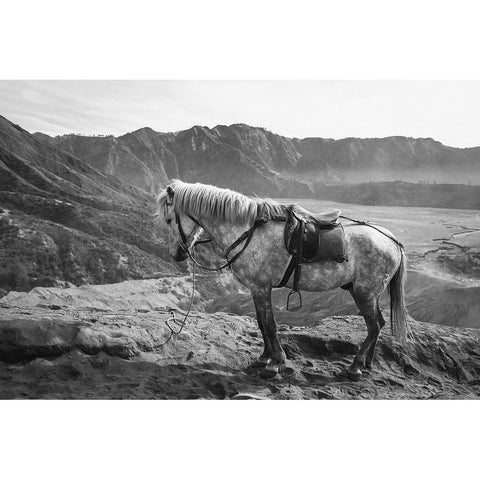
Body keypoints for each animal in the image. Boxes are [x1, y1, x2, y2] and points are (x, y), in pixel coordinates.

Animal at [156, 178, 410, 380]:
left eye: (169, 220)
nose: (176, 254)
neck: (248, 231)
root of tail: (392, 240)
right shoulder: (256, 289)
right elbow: (261, 323)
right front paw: (264, 357)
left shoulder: (261, 287)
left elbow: (270, 324)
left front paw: (276, 362)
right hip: (365, 293)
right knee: (379, 324)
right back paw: (367, 363)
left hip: (364, 293)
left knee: (374, 326)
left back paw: (355, 367)